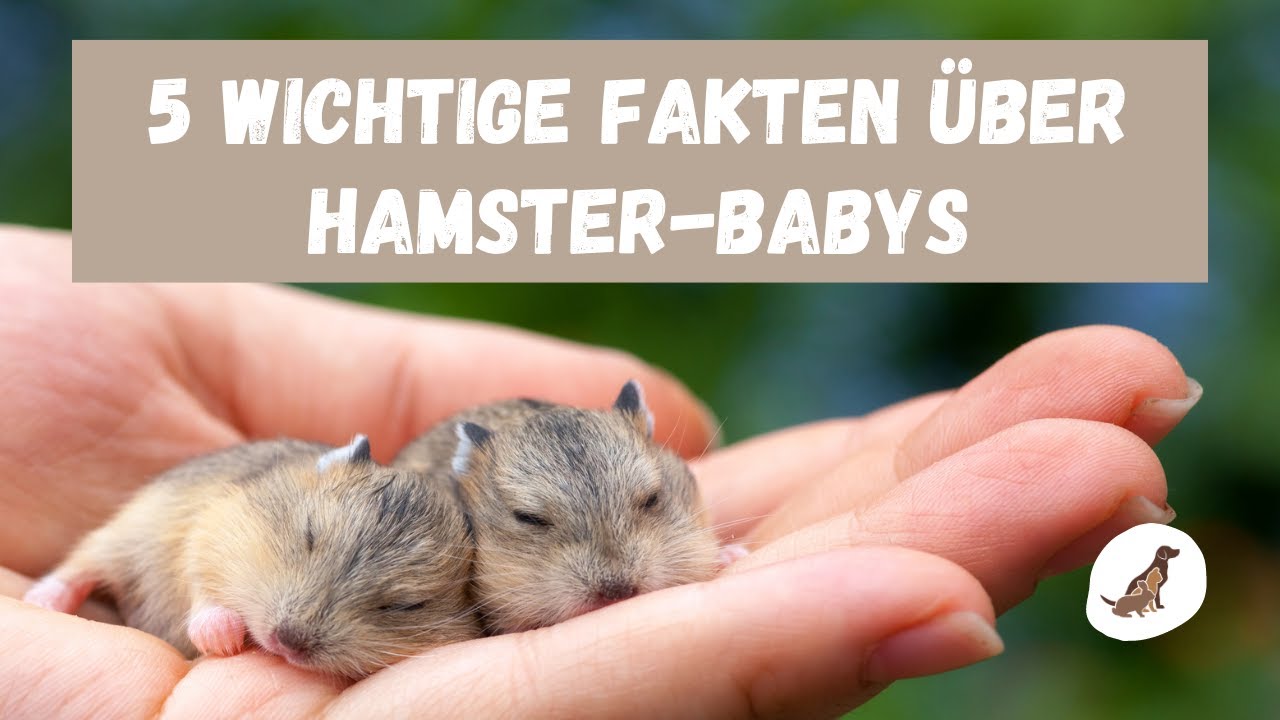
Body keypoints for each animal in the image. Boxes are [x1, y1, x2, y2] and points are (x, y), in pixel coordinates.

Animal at [23, 436, 479, 678]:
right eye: (308, 533)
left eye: (407, 606)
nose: (288, 643)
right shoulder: (207, 533)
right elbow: (204, 593)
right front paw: (224, 642)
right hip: (124, 534)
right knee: (78, 567)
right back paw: (40, 602)